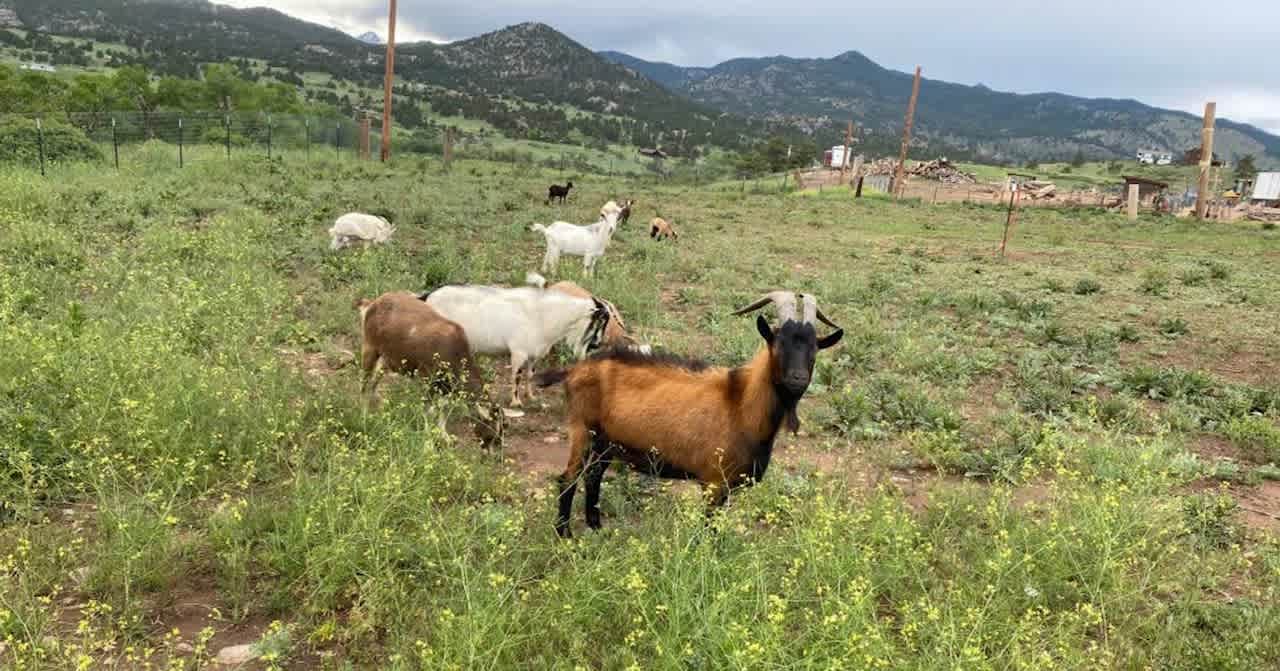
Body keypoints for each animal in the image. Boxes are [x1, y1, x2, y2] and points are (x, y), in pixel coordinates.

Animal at [360, 291, 504, 445]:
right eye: (492, 435)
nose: (494, 450)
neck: (455, 350)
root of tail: (373, 303)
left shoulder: (445, 385)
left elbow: (443, 408)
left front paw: (444, 435)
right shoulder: (427, 377)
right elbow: (427, 408)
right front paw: (427, 438)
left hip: (389, 358)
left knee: (376, 377)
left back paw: (379, 406)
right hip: (369, 346)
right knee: (364, 381)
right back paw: (363, 413)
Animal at [422, 281, 611, 404]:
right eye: (600, 320)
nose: (597, 344)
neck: (544, 315)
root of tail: (427, 297)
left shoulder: (533, 354)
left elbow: (530, 375)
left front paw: (531, 397)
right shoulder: (519, 352)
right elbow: (516, 376)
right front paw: (516, 402)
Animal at [535, 290, 844, 537]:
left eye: (815, 348)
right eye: (778, 343)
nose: (797, 379)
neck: (741, 402)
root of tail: (575, 370)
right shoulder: (713, 483)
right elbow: (709, 531)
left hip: (606, 443)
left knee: (593, 476)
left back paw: (597, 528)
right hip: (582, 430)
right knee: (568, 479)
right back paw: (565, 536)